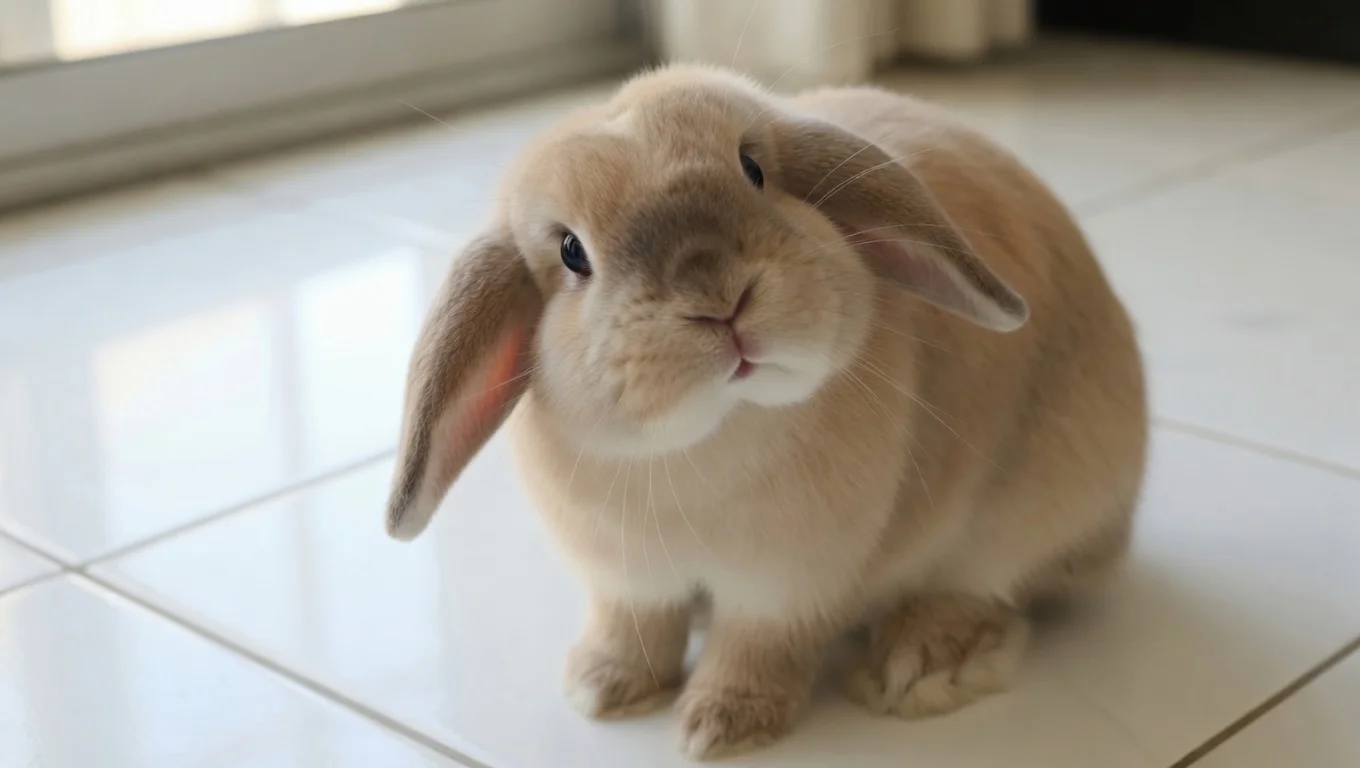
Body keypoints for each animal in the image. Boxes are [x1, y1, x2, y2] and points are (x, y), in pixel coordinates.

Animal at [385, 63, 1147, 761]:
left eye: (752, 169)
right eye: (572, 253)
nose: (720, 298)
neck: (717, 432)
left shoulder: (787, 588)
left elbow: (755, 649)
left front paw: (721, 726)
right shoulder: (625, 579)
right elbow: (634, 626)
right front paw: (603, 688)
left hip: (1023, 515)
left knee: (987, 589)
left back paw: (919, 666)